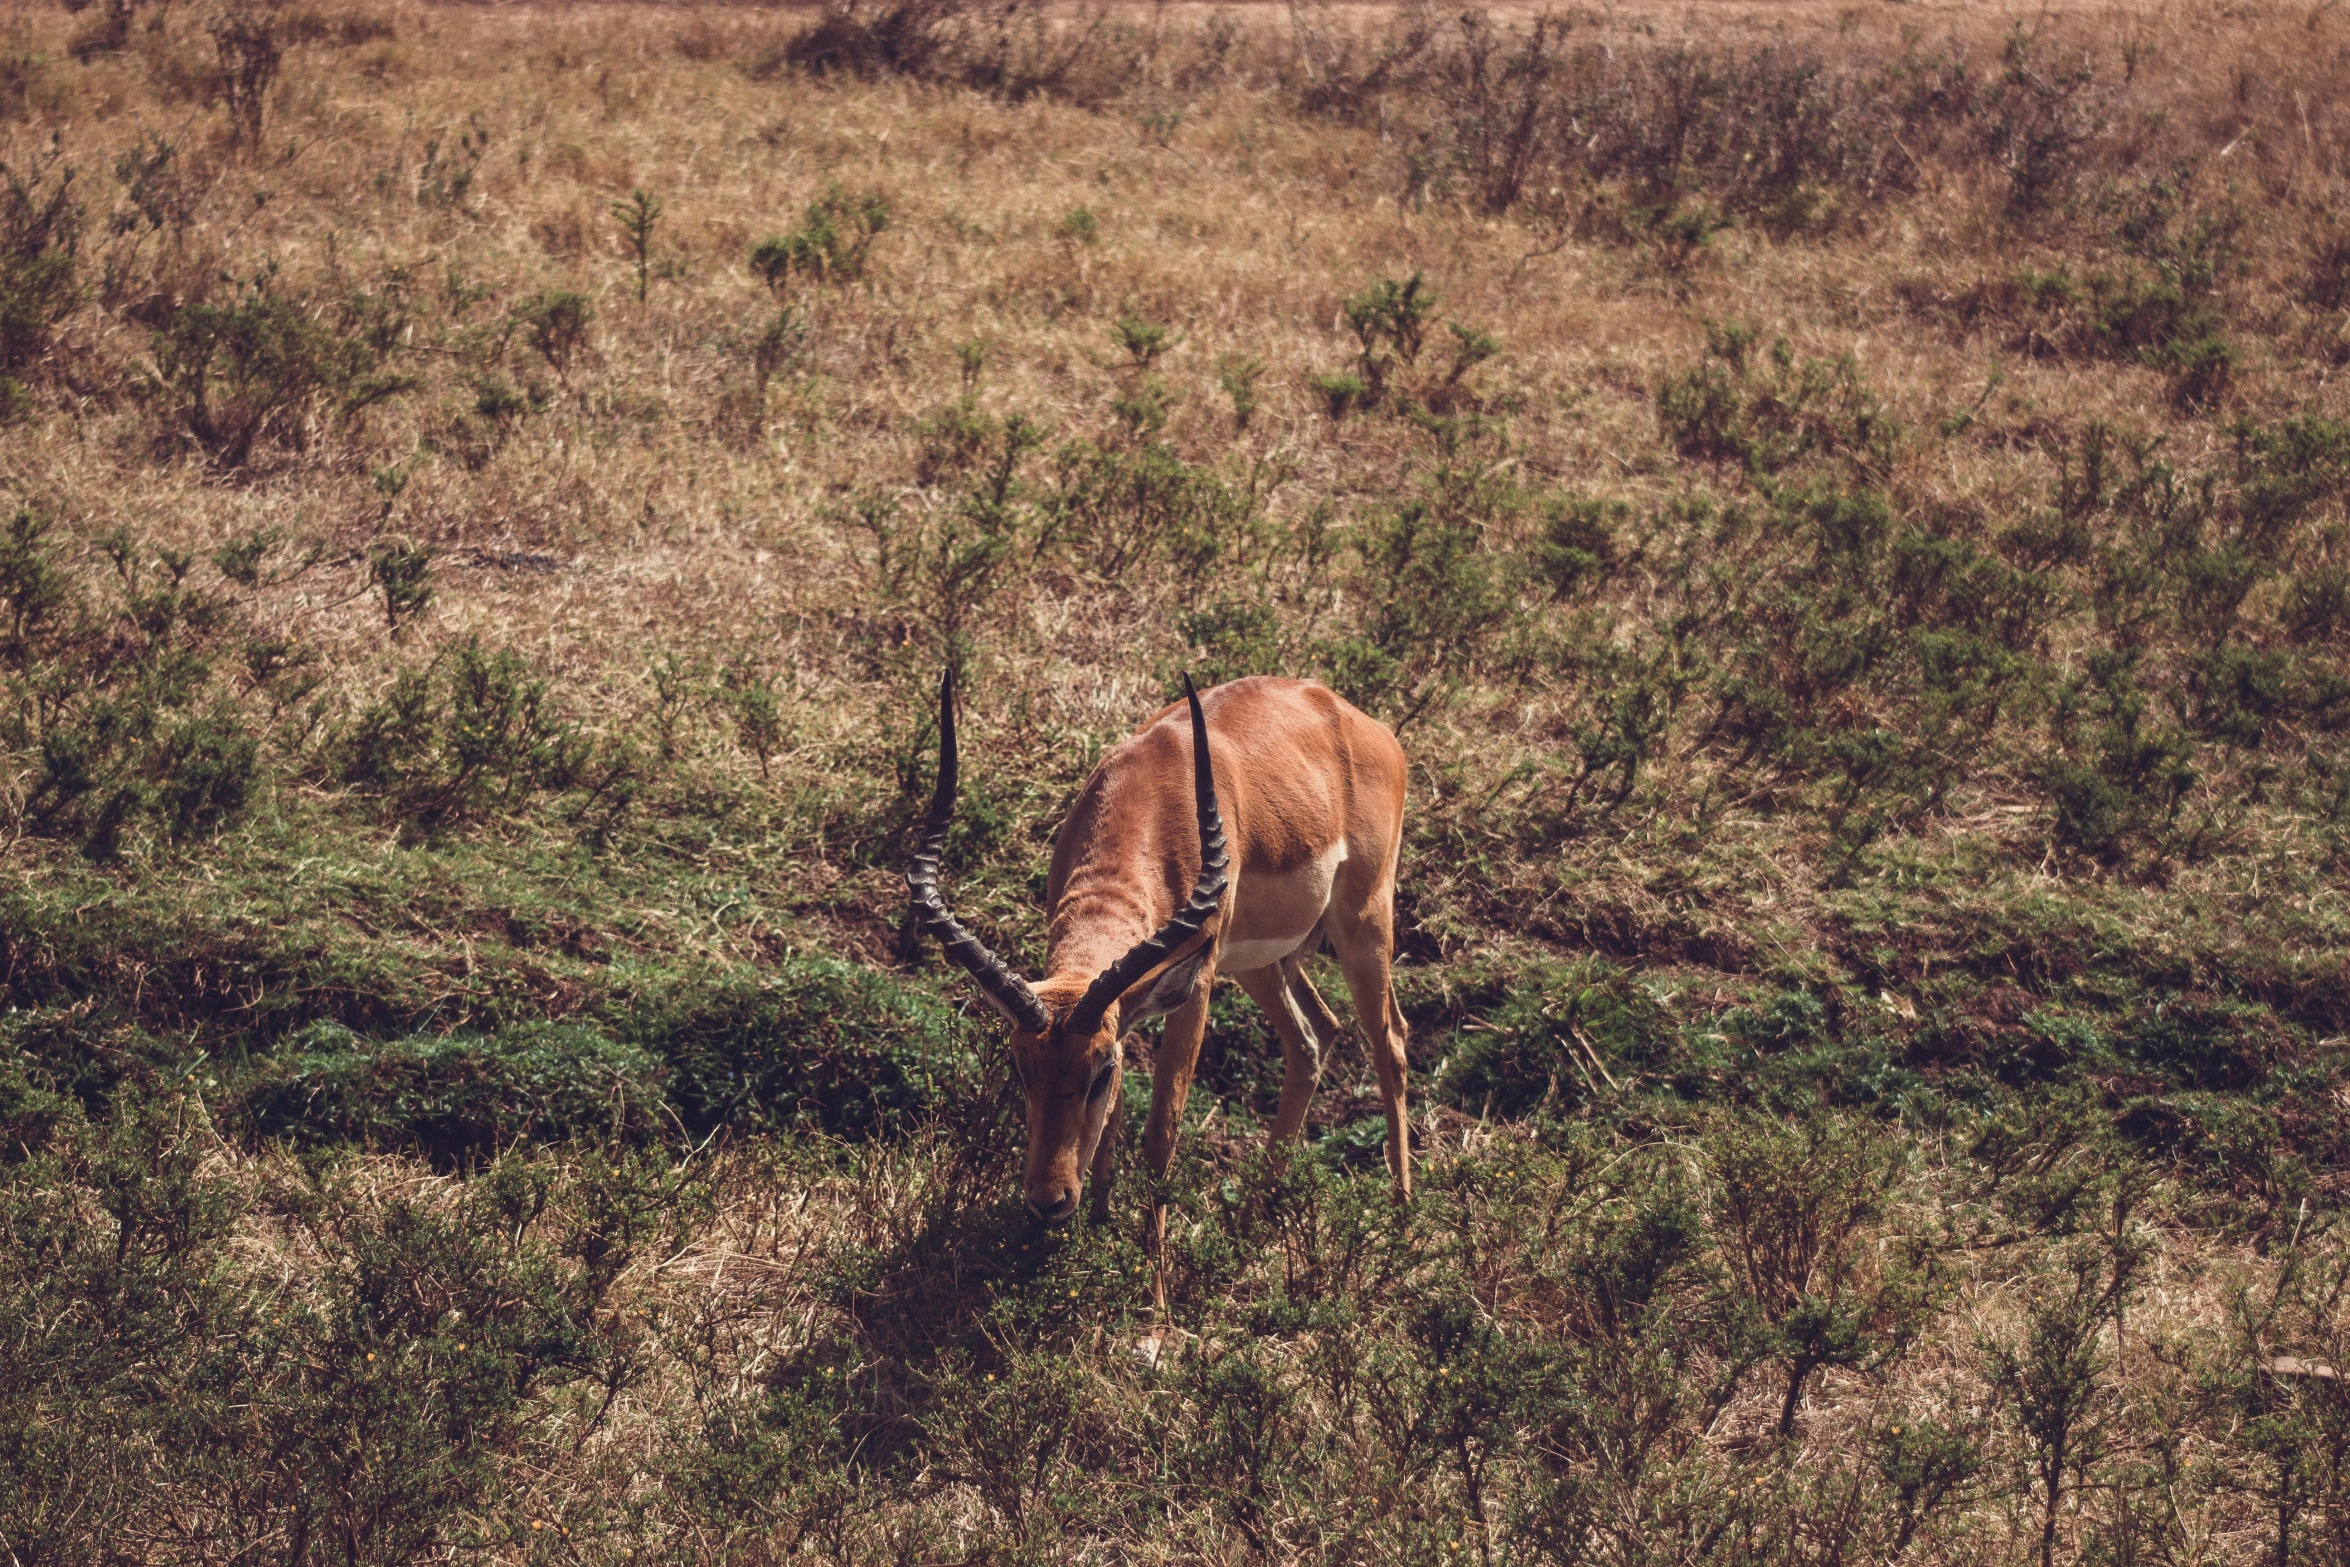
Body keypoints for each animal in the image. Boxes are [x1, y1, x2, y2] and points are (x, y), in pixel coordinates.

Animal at [902, 676, 1410, 1249]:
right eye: (1020, 1065)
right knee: (1313, 1035)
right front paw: (1099, 1226)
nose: (1048, 1201)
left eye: (1099, 1070)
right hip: (1259, 961)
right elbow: (1115, 1120)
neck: (1153, 793)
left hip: (1362, 924)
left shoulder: (1195, 985)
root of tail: (1358, 719)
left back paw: (1402, 1221)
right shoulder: (1130, 1006)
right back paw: (1248, 1227)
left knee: (1390, 1042)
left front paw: (1152, 1272)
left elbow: (1161, 1128)